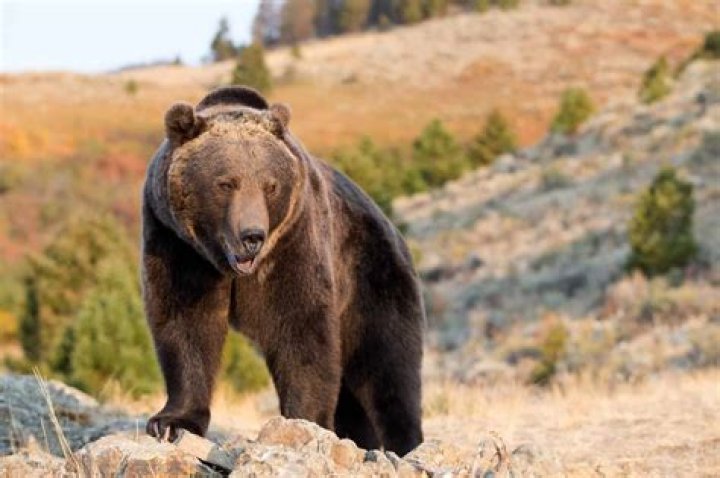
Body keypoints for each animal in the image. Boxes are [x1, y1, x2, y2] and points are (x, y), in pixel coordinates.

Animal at [141, 86, 425, 456]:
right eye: (226, 183)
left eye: (270, 185)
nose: (252, 236)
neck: (227, 266)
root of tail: (392, 226)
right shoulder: (178, 245)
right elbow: (185, 322)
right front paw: (171, 422)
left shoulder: (293, 242)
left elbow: (300, 328)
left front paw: (304, 423)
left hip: (372, 278)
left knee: (388, 367)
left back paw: (404, 444)